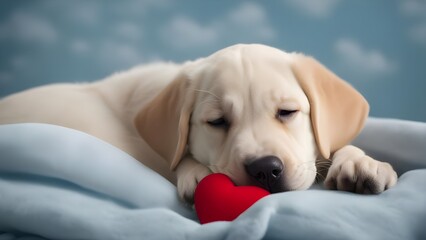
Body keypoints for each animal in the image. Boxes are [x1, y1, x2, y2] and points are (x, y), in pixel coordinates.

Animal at [0, 43, 396, 202]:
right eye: (217, 122)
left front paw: (360, 161)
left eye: (287, 112)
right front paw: (197, 172)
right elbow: (180, 158)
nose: (265, 169)